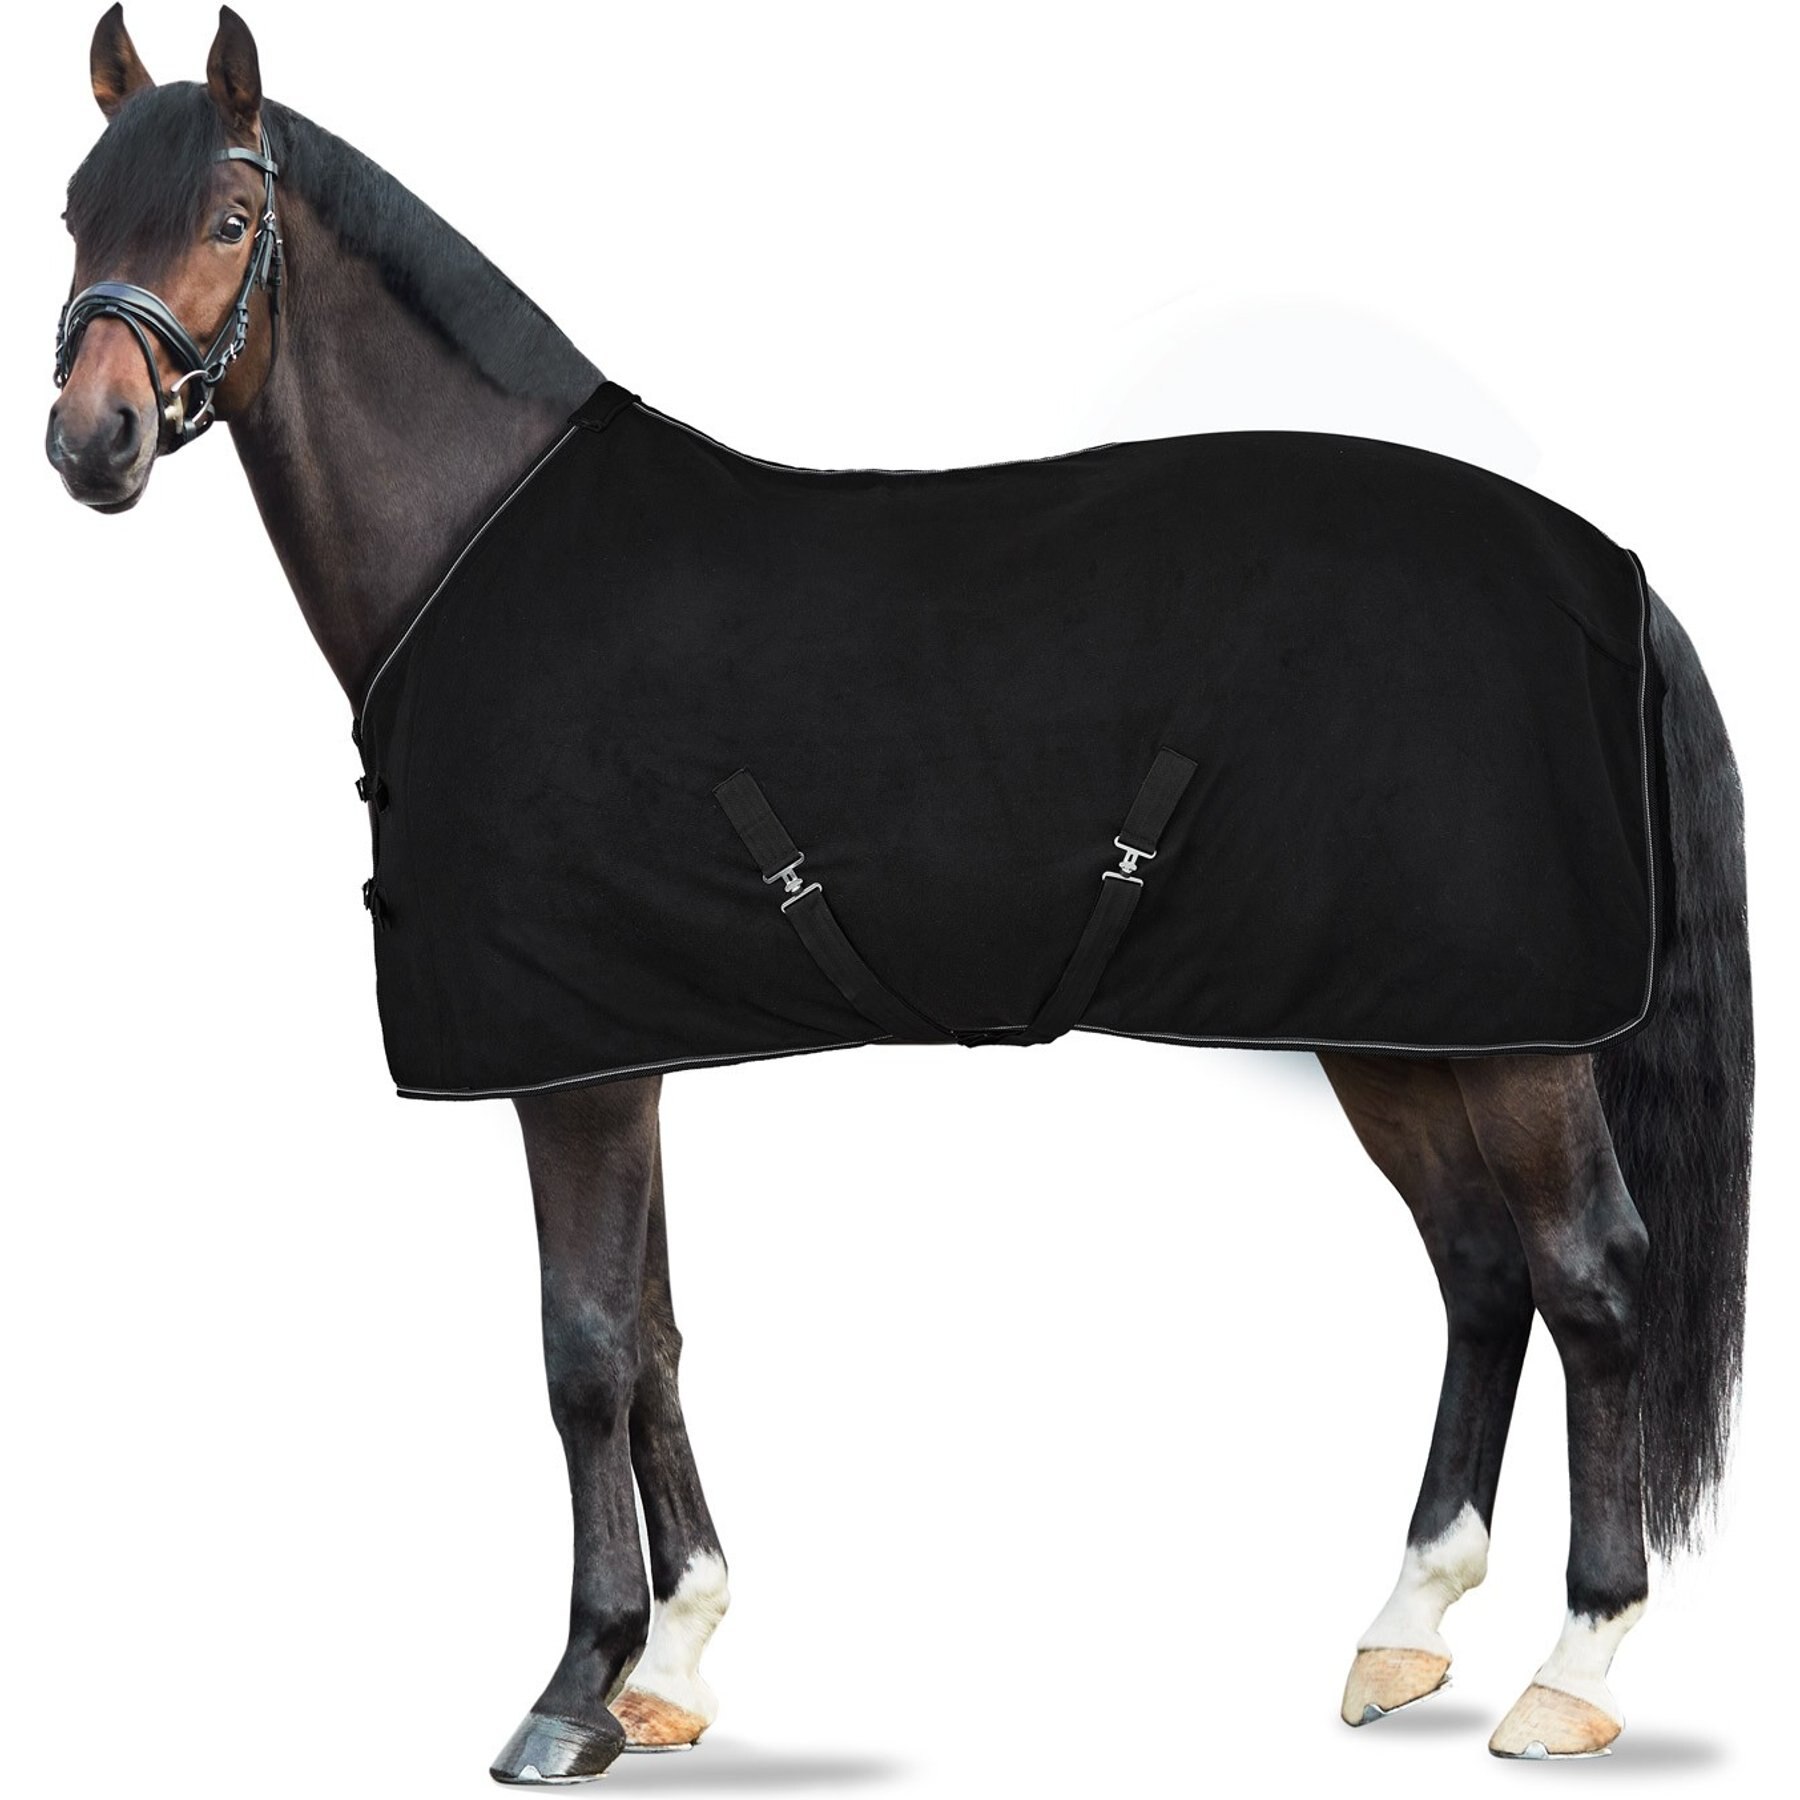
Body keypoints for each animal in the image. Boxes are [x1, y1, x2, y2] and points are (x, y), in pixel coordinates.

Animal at [47, 6, 1752, 1782]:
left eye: (226, 222)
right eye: (73, 217)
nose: (92, 442)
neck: (478, 551)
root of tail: (1613, 576)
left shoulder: (570, 1073)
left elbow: (582, 1350)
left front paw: (575, 1687)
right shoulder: (625, 1046)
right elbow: (655, 1333)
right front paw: (676, 1662)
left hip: (1517, 1038)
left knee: (1593, 1278)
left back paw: (1576, 1667)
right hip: (1400, 1024)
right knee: (1482, 1273)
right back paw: (1406, 1629)